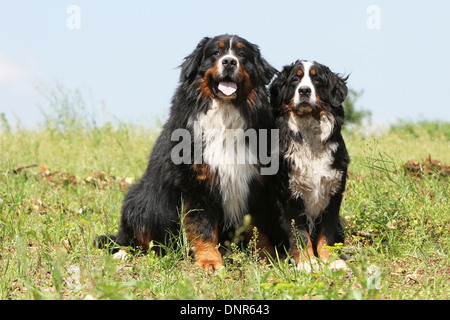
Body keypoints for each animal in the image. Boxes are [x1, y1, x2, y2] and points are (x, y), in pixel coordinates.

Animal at [95, 34, 278, 270]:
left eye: (242, 54)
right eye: (216, 53)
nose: (229, 62)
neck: (225, 116)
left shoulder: (256, 183)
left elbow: (258, 228)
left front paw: (269, 258)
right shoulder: (197, 183)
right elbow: (202, 227)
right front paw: (209, 261)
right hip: (140, 200)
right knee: (135, 239)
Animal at [268, 59, 350, 270]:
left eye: (316, 79)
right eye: (295, 79)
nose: (304, 90)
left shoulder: (333, 193)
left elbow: (326, 234)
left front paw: (331, 261)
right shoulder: (290, 196)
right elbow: (300, 234)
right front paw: (308, 264)